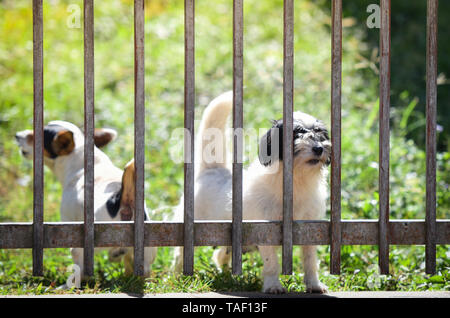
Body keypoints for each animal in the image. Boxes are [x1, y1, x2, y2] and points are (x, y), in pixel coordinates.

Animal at [15, 120, 157, 280]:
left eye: (34, 136)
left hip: (82, 247)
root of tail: (121, 201)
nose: (17, 135)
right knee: (138, 268)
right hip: (145, 251)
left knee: (81, 270)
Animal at [174, 92, 332, 294]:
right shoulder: (265, 230)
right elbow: (271, 263)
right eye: (297, 133)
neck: (297, 180)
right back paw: (179, 277)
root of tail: (212, 170)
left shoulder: (310, 229)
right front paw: (273, 285)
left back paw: (227, 276)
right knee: (180, 254)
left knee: (220, 254)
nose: (319, 148)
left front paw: (314, 285)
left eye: (320, 133)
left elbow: (310, 261)